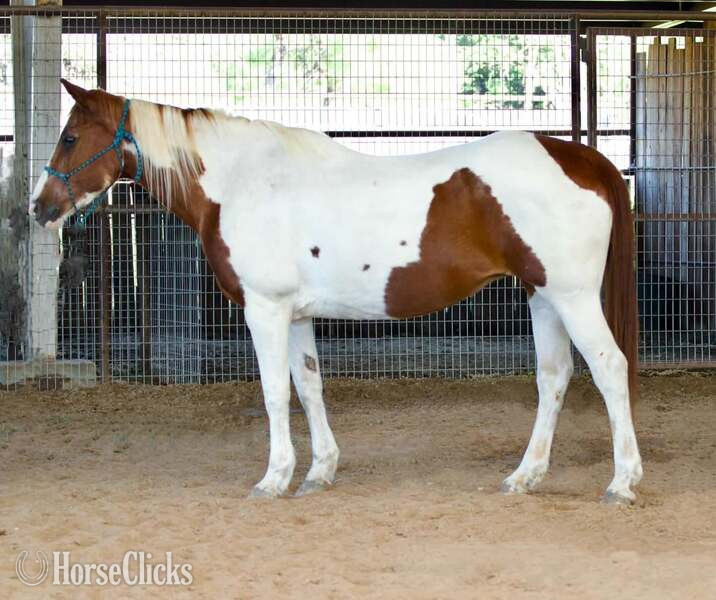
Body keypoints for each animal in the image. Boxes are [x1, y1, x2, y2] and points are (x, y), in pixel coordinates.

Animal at [30, 79, 642, 504]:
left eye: (70, 136)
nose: (39, 208)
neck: (241, 182)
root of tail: (583, 158)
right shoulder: (297, 315)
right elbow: (309, 388)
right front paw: (318, 472)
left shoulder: (266, 311)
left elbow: (275, 393)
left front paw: (273, 479)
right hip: (543, 296)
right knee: (554, 377)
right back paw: (525, 476)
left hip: (573, 296)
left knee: (609, 368)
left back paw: (622, 481)